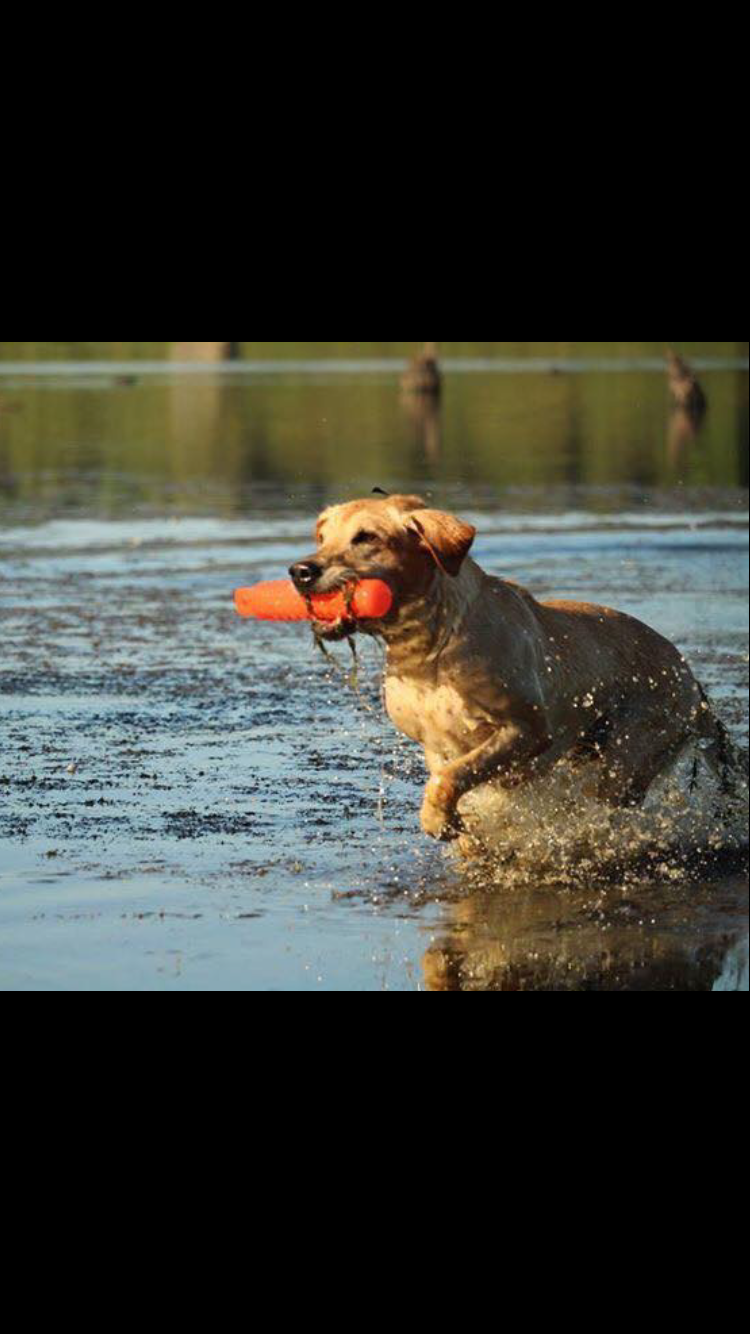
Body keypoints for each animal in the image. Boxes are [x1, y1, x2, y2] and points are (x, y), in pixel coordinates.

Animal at [289, 496, 736, 837]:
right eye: (322, 537)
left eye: (366, 537)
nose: (301, 571)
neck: (432, 650)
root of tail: (693, 682)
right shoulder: (436, 745)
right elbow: (450, 783)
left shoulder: (526, 729)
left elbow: (451, 778)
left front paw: (438, 821)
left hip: (628, 758)